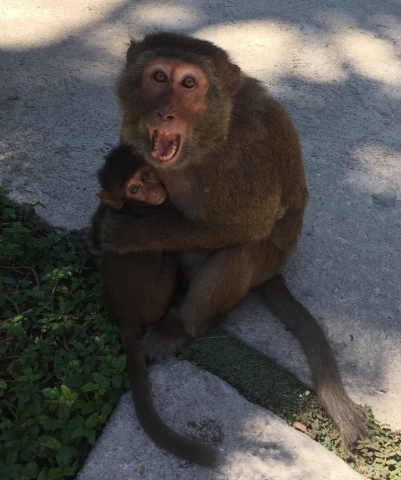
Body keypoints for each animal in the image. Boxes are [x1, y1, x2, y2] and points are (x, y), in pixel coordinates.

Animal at [93, 144, 221, 467]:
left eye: (145, 175)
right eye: (135, 189)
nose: (152, 190)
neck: (132, 207)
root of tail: (125, 316)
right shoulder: (163, 210)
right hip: (162, 288)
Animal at [100, 32, 368, 449]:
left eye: (188, 83)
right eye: (158, 77)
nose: (165, 114)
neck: (203, 142)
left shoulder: (244, 158)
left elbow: (249, 226)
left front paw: (130, 234)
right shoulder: (131, 134)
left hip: (262, 262)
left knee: (242, 252)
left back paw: (183, 326)